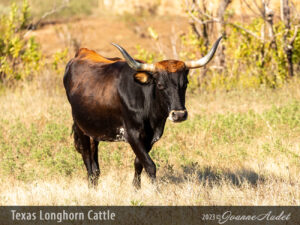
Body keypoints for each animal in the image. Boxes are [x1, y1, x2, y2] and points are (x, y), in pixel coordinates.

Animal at [63, 37, 223, 188]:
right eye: (160, 85)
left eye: (185, 84)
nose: (179, 115)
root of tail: (82, 52)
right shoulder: (132, 134)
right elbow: (150, 165)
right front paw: (156, 191)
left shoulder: (151, 137)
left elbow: (139, 163)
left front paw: (136, 188)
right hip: (80, 127)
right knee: (87, 159)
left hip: (94, 128)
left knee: (94, 162)